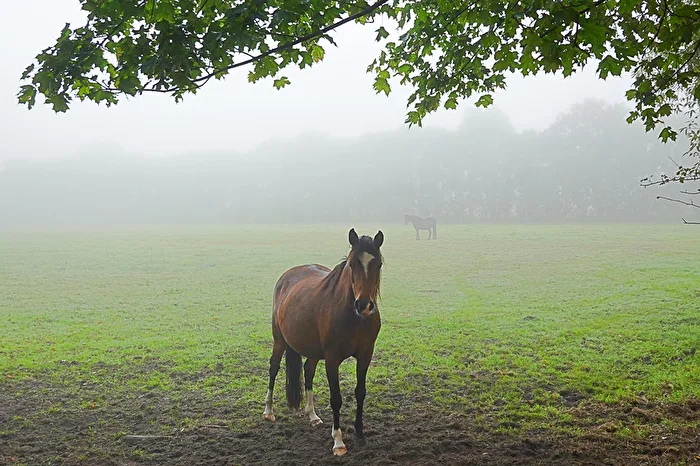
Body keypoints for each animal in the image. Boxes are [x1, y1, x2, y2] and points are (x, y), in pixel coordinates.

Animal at [263, 228, 384, 456]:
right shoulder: (332, 359)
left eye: (378, 264)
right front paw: (338, 441)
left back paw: (312, 415)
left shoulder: (366, 354)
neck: (354, 317)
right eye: (352, 264)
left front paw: (360, 433)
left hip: (312, 350)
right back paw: (268, 410)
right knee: (273, 368)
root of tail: (286, 277)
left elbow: (360, 393)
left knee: (308, 370)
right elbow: (336, 398)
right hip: (279, 340)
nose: (364, 305)